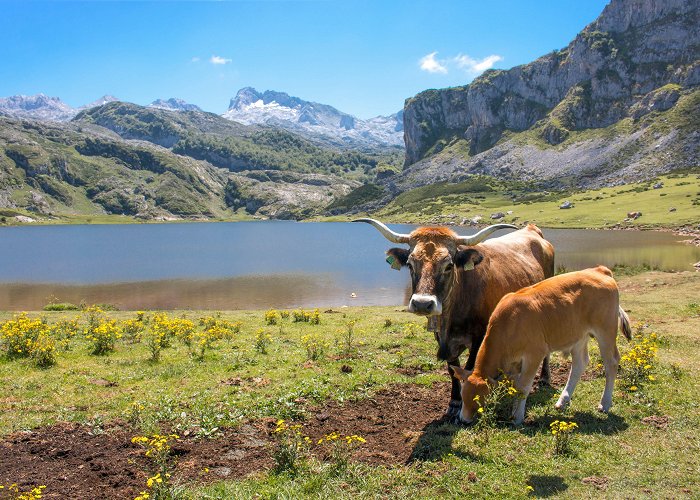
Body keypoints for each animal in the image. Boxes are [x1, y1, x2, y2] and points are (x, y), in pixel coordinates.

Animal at [358, 219, 556, 418]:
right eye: (410, 264)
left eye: (448, 265)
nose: (422, 304)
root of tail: (532, 230)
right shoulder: (442, 339)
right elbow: (452, 369)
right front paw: (454, 402)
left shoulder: (479, 337)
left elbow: (468, 368)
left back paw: (544, 378)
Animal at [452, 266, 632, 426]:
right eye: (462, 395)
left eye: (480, 399)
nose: (463, 420)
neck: (508, 325)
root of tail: (599, 270)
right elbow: (516, 386)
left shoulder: (535, 354)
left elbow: (523, 386)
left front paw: (517, 417)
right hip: (578, 335)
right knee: (580, 363)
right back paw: (563, 400)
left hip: (605, 330)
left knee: (611, 362)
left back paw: (605, 403)